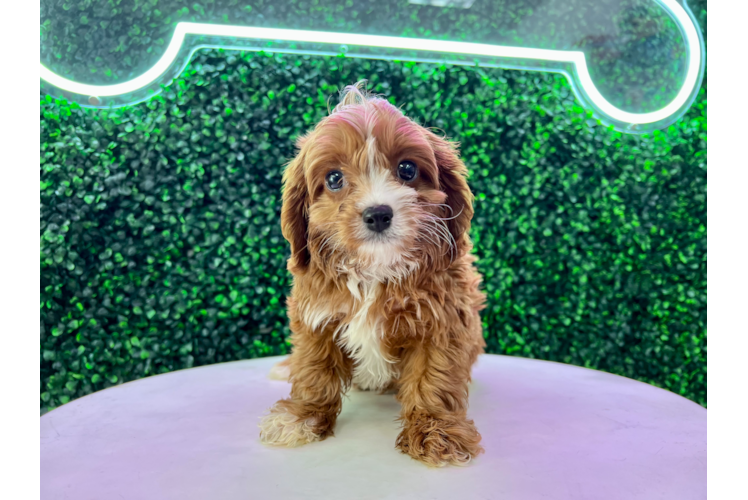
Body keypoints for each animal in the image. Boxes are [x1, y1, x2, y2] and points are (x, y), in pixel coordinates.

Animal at [260, 80, 488, 466]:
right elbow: (313, 369)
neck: (375, 270)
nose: (378, 213)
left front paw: (437, 433)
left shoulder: (443, 320)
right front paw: (301, 417)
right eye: (334, 178)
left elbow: (434, 378)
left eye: (407, 169)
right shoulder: (315, 317)